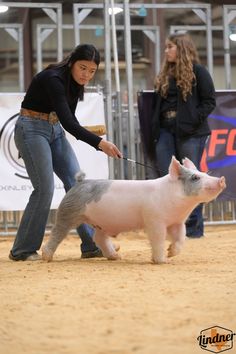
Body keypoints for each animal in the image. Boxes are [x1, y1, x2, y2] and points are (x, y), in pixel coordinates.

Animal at [41, 156, 226, 264]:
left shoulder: (177, 222)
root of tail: (80, 183)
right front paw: (162, 261)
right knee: (57, 232)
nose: (221, 179)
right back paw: (47, 257)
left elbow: (181, 239)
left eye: (204, 173)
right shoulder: (154, 221)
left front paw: (171, 253)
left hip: (101, 223)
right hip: (68, 212)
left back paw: (116, 257)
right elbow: (158, 240)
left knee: (99, 238)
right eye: (195, 177)